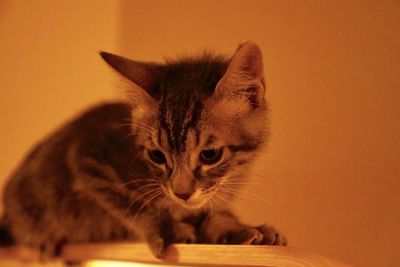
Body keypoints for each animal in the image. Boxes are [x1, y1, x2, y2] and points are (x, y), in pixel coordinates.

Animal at [0, 42, 288, 260]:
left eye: (210, 154)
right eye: (157, 156)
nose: (181, 193)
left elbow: (215, 214)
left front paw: (240, 228)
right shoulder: (87, 158)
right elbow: (135, 205)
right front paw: (167, 228)